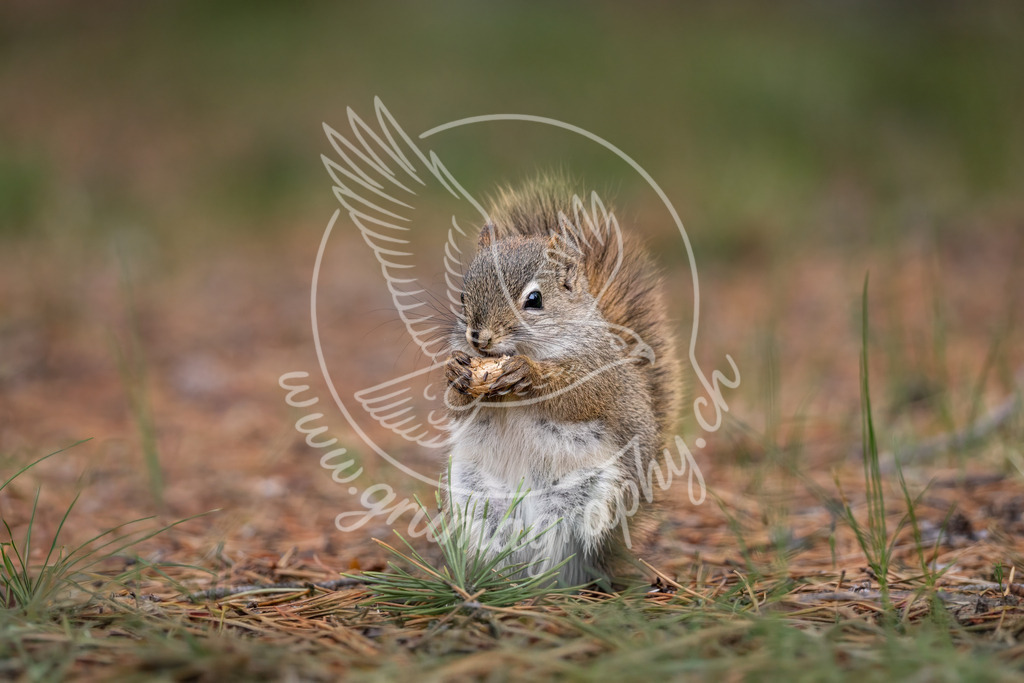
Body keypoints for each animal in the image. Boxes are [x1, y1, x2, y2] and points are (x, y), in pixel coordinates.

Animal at [443, 176, 680, 586]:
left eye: (535, 299)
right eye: (462, 294)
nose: (477, 338)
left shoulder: (599, 371)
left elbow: (577, 395)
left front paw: (528, 374)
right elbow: (459, 406)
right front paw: (456, 370)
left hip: (582, 500)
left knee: (557, 548)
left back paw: (543, 584)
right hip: (480, 500)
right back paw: (494, 578)